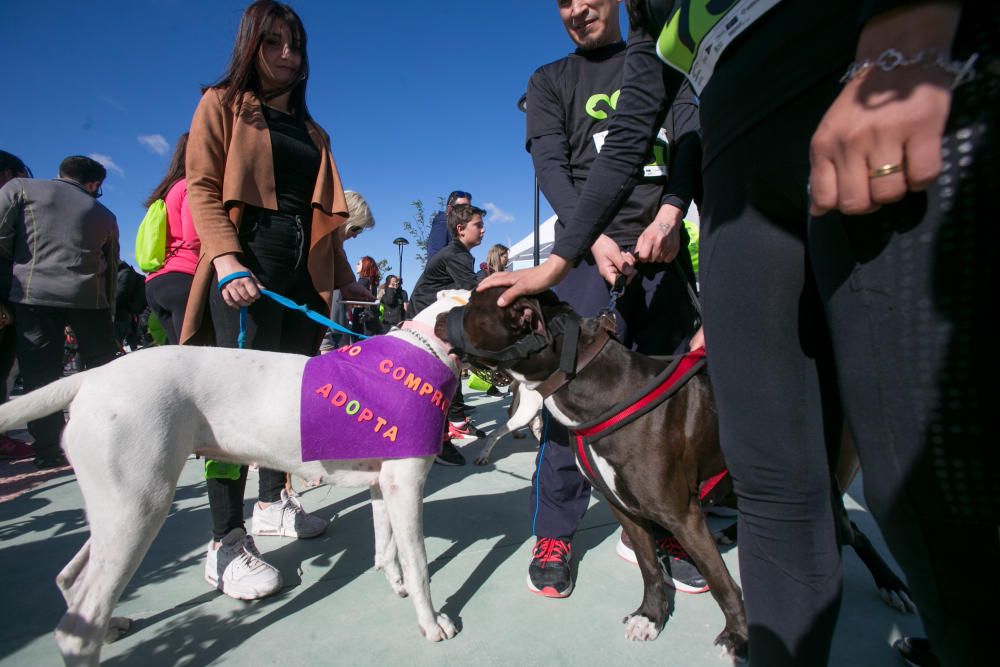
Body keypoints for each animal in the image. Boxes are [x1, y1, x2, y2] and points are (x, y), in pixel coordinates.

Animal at [0, 292, 472, 667]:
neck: (426, 349)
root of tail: (92, 376)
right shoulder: (406, 489)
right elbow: (420, 565)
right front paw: (432, 623)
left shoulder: (382, 487)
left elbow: (387, 548)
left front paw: (395, 584)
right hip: (140, 509)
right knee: (77, 629)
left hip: (118, 510)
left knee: (71, 580)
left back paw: (110, 624)